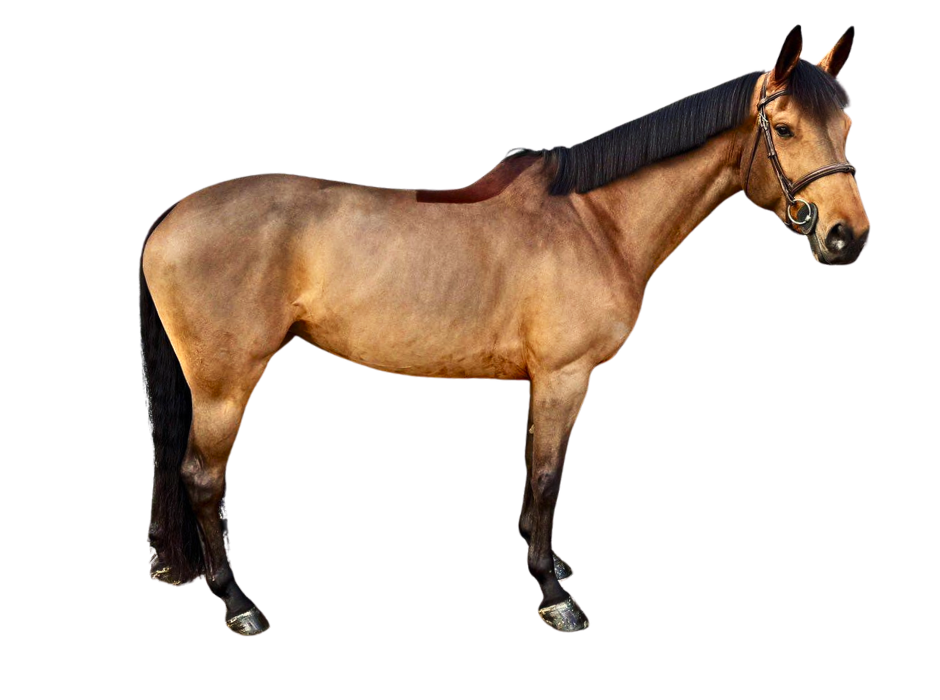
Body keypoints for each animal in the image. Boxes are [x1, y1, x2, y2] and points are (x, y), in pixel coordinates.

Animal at [139, 24, 869, 635]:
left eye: (848, 123)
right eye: (784, 128)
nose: (848, 236)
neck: (594, 220)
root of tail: (169, 219)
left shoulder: (545, 379)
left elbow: (534, 470)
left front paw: (550, 563)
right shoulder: (564, 375)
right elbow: (547, 477)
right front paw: (554, 594)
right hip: (225, 386)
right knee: (201, 476)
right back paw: (238, 603)